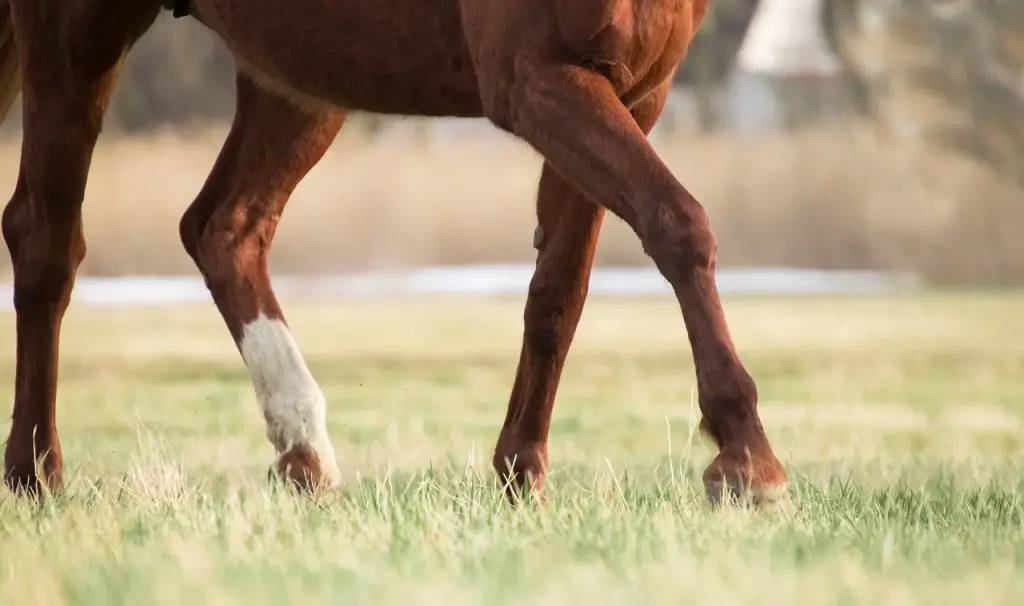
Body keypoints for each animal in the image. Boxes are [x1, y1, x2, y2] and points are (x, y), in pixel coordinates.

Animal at [0, 0, 786, 505]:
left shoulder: (636, 89)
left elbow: (560, 290)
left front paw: (520, 470)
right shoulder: (535, 76)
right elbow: (678, 224)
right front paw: (746, 456)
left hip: (302, 74)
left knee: (224, 227)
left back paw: (305, 452)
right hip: (77, 36)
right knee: (43, 239)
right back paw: (36, 475)